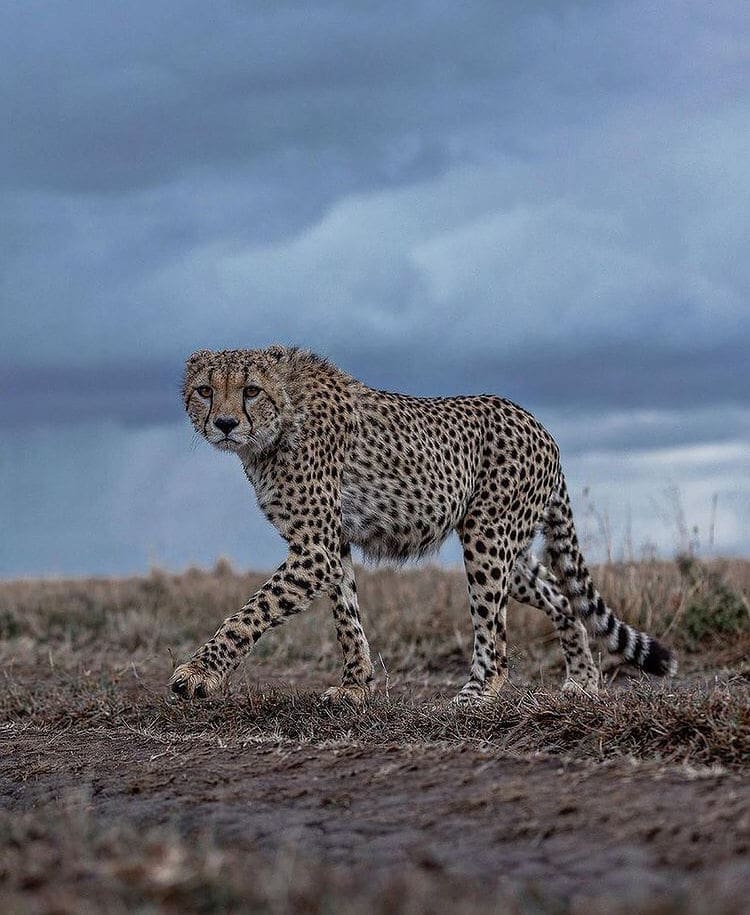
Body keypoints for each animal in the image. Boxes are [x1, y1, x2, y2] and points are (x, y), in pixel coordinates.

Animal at [173, 348, 680, 704]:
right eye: (205, 390)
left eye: (250, 390)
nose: (224, 423)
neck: (279, 421)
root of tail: (541, 428)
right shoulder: (331, 546)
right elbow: (346, 615)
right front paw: (356, 685)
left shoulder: (314, 549)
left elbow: (249, 613)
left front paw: (198, 674)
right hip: (511, 551)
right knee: (560, 595)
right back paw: (583, 680)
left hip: (487, 537)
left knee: (494, 634)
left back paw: (477, 693)